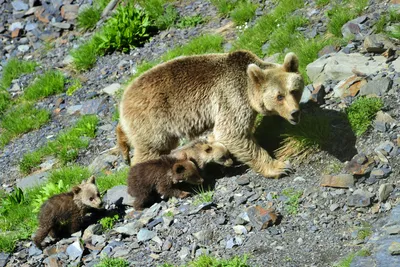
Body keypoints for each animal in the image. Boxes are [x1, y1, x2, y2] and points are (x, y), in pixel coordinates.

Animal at [118, 50, 304, 180]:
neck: (248, 89)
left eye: (294, 91)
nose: (295, 112)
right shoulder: (231, 96)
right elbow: (231, 132)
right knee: (151, 149)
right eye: (279, 96)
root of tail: (122, 102)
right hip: (152, 122)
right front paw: (279, 167)